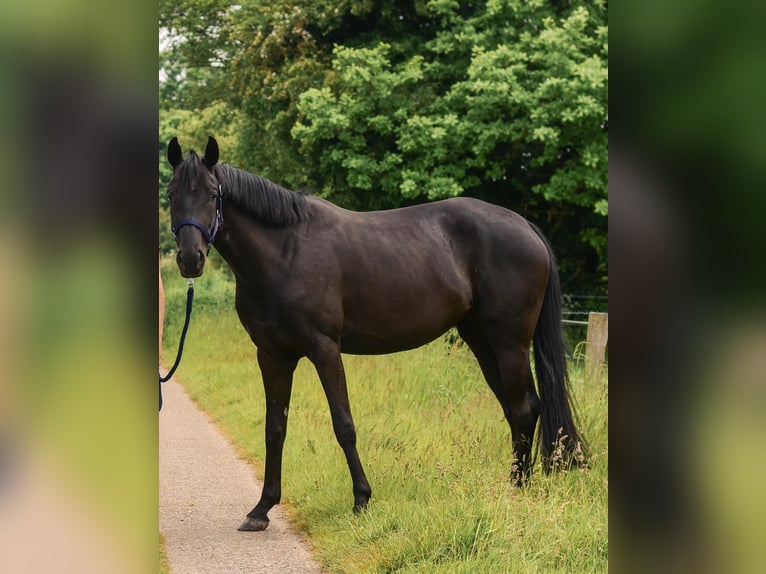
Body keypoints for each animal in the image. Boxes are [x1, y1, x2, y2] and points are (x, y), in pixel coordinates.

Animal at [168, 137, 584, 532]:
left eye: (213, 194)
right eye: (171, 194)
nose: (190, 259)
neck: (286, 250)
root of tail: (525, 226)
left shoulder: (324, 349)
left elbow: (344, 425)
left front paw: (362, 499)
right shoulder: (272, 356)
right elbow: (275, 428)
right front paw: (262, 508)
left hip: (510, 343)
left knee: (524, 408)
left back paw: (518, 490)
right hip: (483, 342)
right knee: (516, 410)